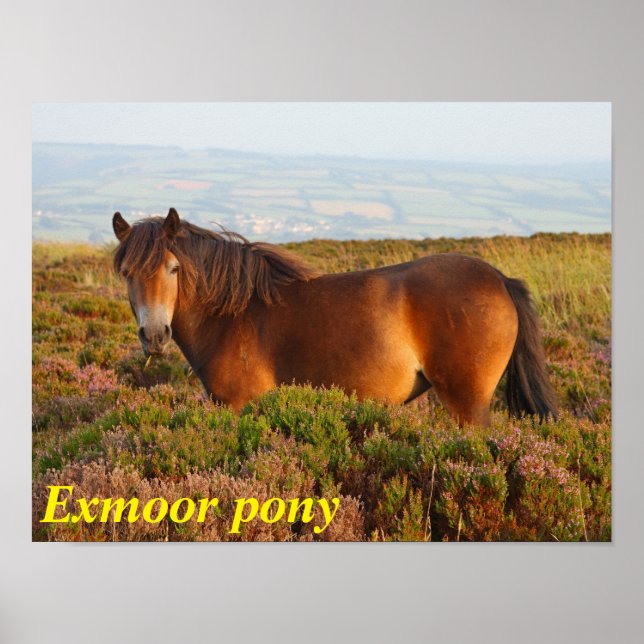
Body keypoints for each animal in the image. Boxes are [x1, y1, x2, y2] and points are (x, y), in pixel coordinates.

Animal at [112, 208, 557, 426]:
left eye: (174, 269)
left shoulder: (240, 406)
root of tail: (500, 280)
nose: (155, 334)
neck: (233, 316)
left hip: (469, 405)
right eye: (127, 273)